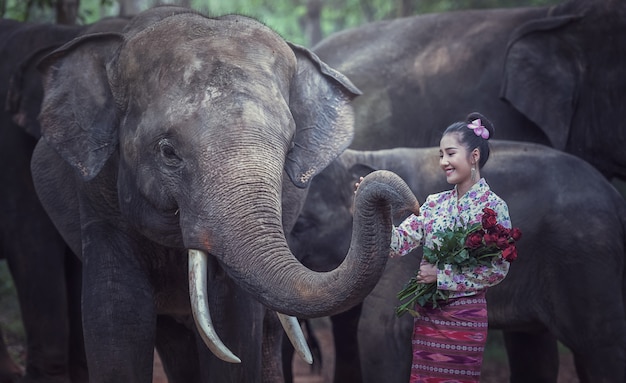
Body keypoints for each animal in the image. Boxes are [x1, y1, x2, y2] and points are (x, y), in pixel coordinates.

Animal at [28, 6, 420, 383]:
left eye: (290, 148)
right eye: (168, 152)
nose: (406, 198)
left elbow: (235, 319)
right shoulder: (96, 196)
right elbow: (116, 311)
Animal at [286, 142, 624, 383]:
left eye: (302, 225)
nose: (415, 206)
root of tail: (616, 198)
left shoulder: (400, 268)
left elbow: (380, 335)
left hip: (588, 263)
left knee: (602, 349)